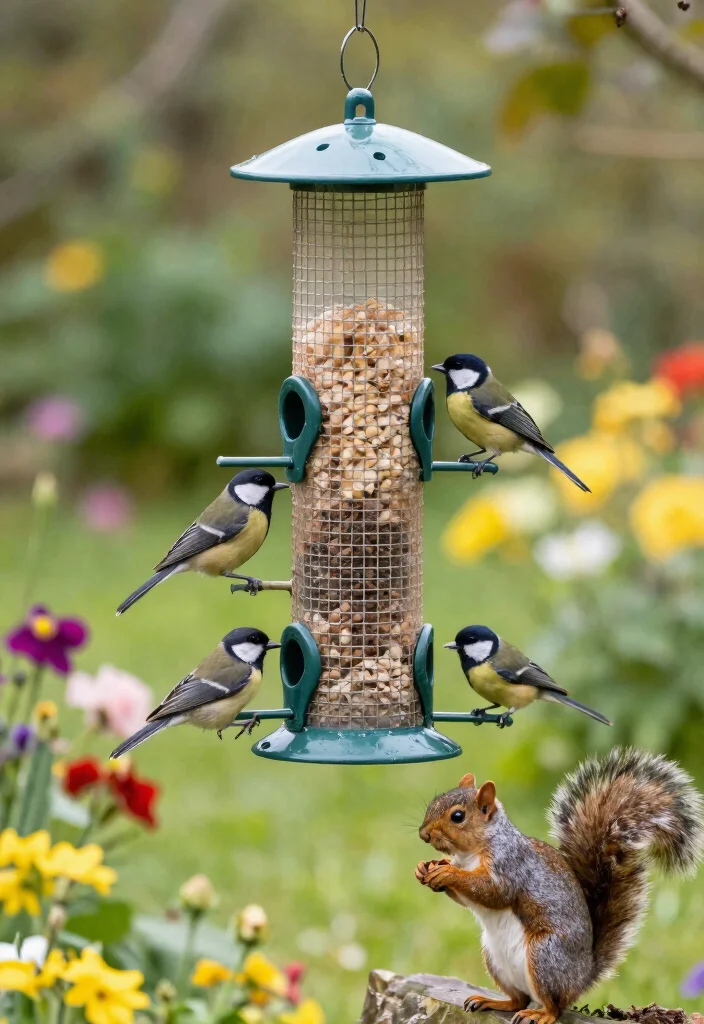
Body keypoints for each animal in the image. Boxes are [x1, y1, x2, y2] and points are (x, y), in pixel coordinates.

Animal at [416, 747, 704, 1024]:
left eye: (457, 816)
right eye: (434, 802)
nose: (423, 834)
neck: (470, 853)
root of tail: (582, 977)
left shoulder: (510, 866)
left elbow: (494, 892)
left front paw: (448, 872)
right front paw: (424, 868)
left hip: (545, 957)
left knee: (555, 1007)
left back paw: (539, 1015)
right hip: (495, 959)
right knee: (518, 1000)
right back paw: (493, 1001)